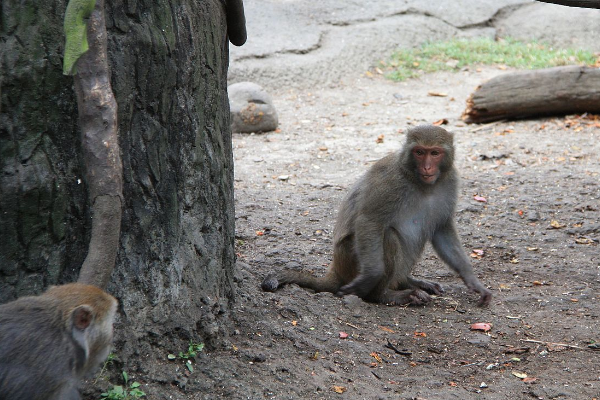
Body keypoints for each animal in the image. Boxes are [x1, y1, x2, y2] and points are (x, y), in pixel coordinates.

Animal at [262, 125, 492, 306]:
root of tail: (336, 269)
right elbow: (370, 221)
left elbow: (442, 229)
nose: (427, 167)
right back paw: (384, 294)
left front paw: (472, 280)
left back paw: (407, 281)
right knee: (387, 236)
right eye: (419, 152)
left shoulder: (450, 180)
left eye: (434, 153)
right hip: (349, 259)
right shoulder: (390, 182)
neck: (420, 183)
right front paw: (371, 277)